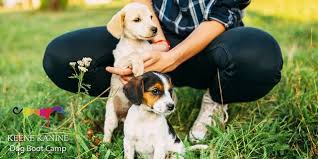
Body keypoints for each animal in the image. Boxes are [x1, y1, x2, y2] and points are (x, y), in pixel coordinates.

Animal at [103, 2, 158, 142]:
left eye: (151, 17)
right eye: (137, 20)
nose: (155, 29)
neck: (137, 44)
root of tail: (123, 116)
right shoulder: (119, 64)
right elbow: (133, 55)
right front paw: (138, 67)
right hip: (111, 118)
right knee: (108, 131)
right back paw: (105, 144)